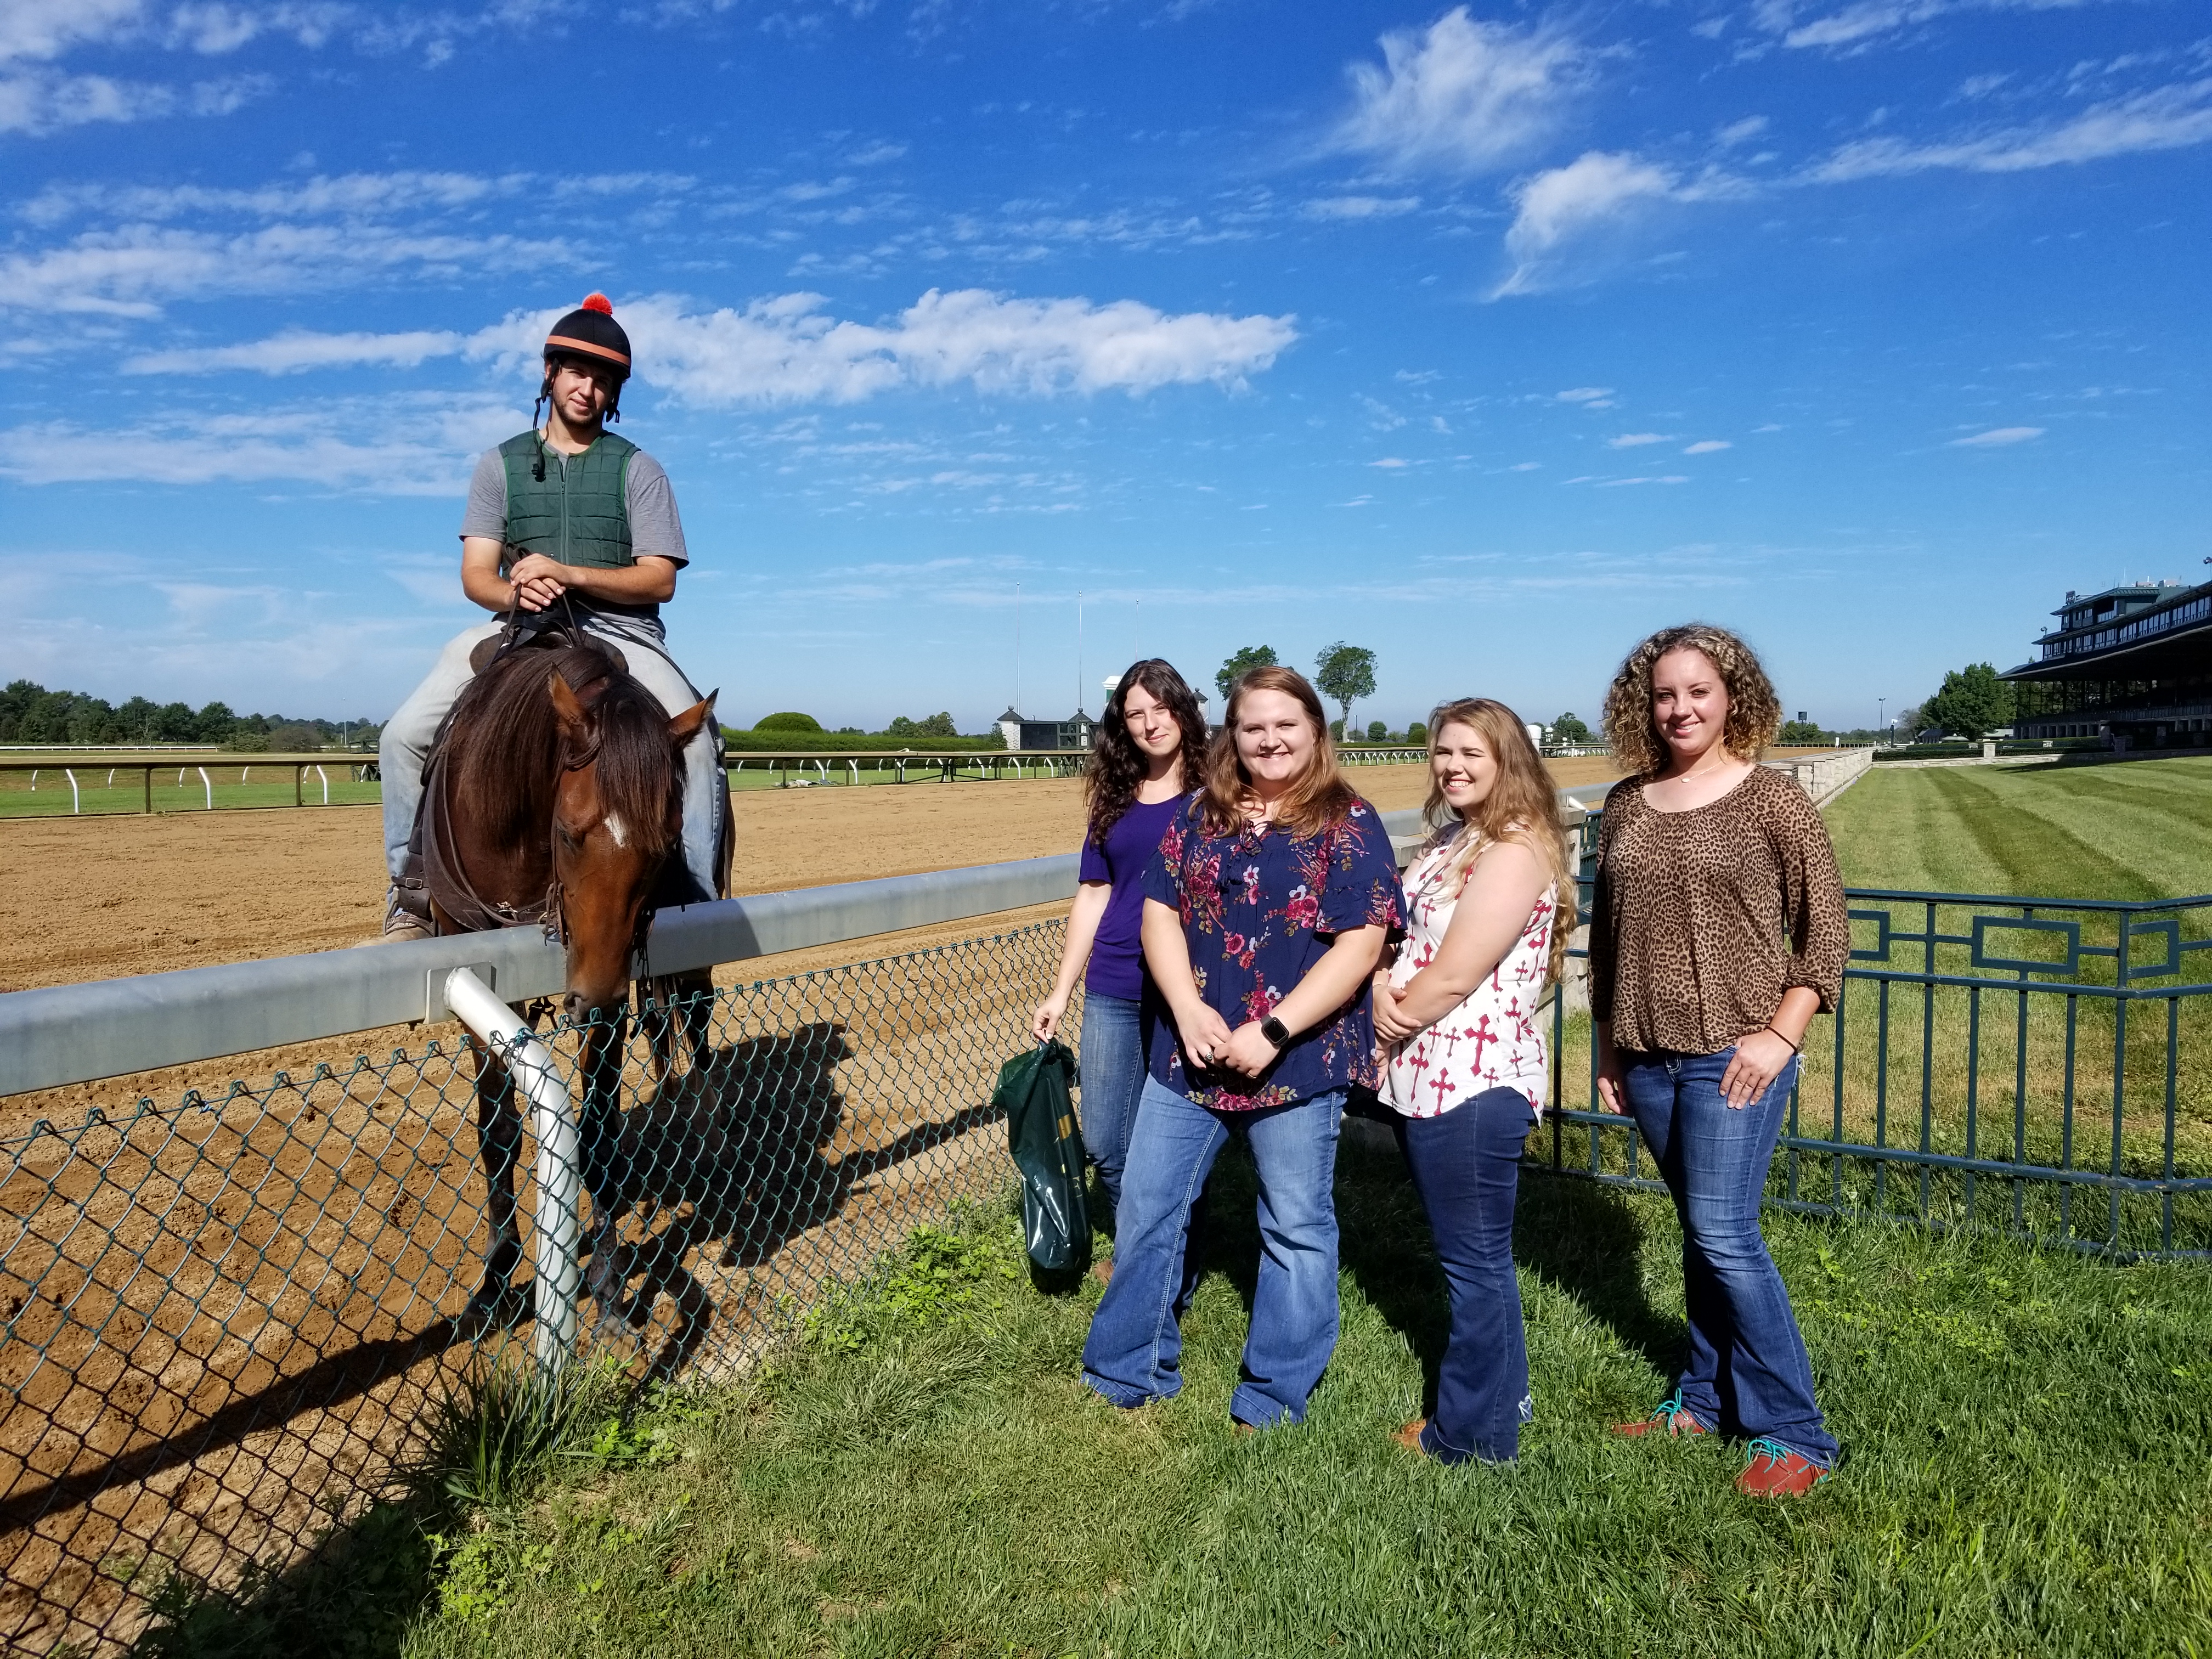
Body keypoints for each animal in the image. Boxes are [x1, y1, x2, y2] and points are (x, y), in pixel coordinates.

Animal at [427, 628, 738, 1345]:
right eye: (569, 834)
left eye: (664, 845)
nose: (589, 997)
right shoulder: (484, 979)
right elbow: (498, 1130)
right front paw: (495, 1280)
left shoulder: (608, 989)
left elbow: (598, 1134)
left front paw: (606, 1287)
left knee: (693, 1018)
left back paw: (709, 1126)